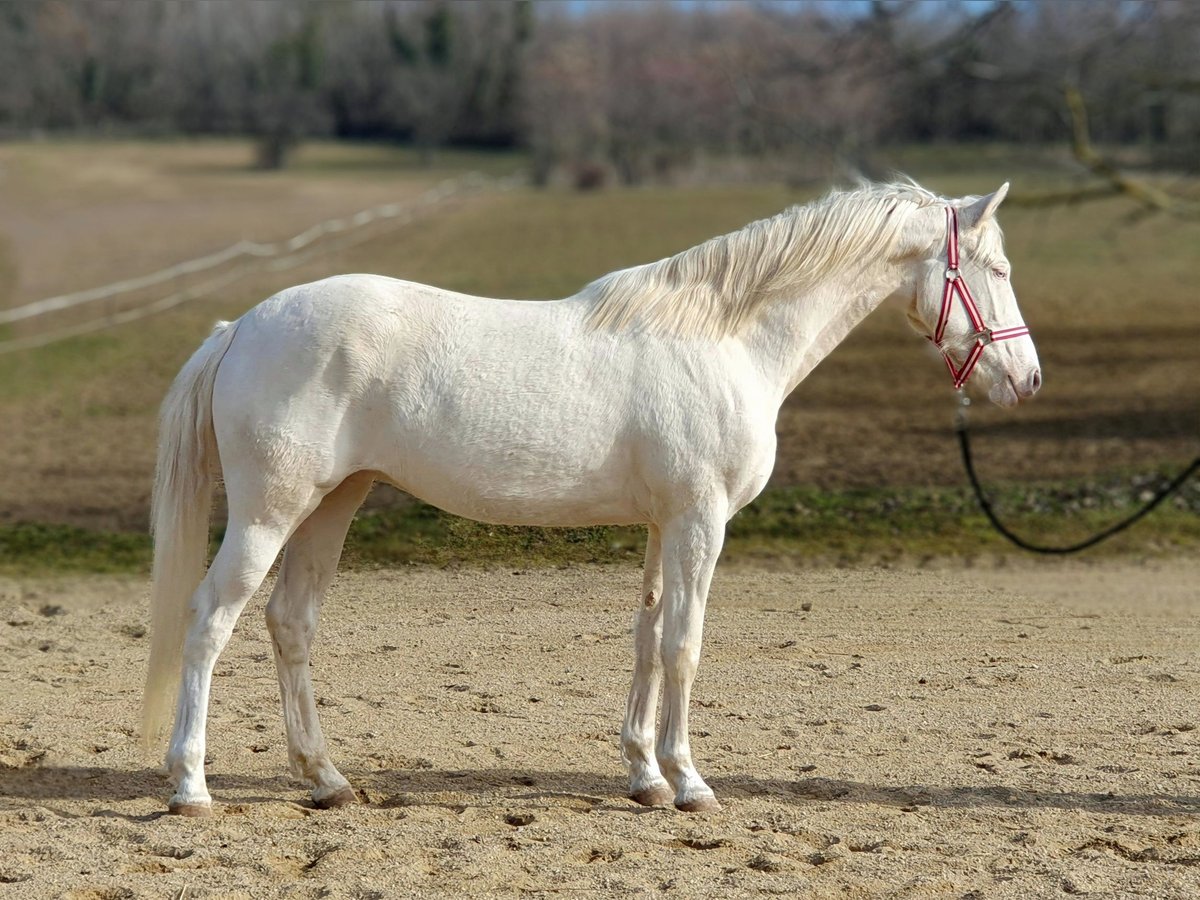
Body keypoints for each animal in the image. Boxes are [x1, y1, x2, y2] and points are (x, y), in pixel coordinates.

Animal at [142, 179, 1041, 816]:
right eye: (997, 269)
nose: (1027, 379)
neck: (723, 338)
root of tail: (240, 327)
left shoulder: (664, 525)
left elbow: (647, 636)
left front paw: (644, 774)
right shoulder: (699, 522)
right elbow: (684, 644)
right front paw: (691, 782)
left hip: (333, 505)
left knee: (289, 624)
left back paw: (325, 778)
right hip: (270, 512)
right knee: (209, 620)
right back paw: (191, 786)